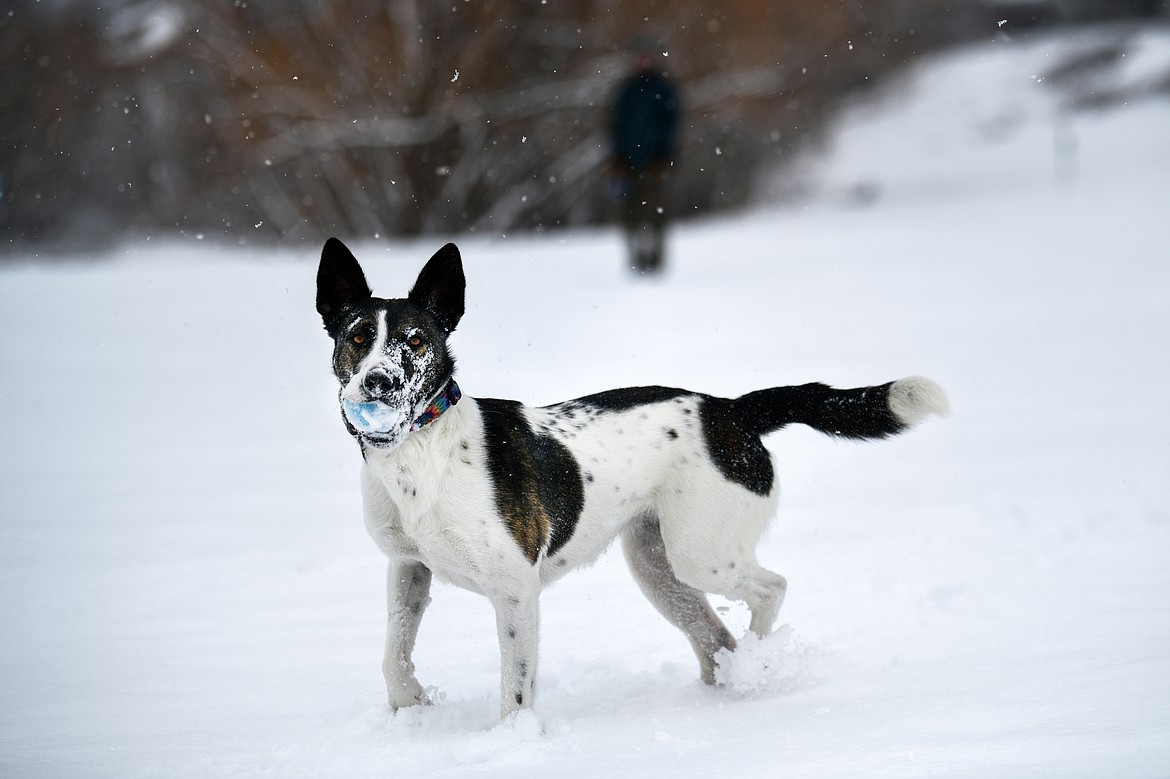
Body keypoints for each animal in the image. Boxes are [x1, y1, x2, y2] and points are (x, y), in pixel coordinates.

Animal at [315, 235, 945, 715]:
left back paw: (759, 663)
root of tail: (731, 410)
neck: (420, 444)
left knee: (772, 588)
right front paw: (410, 708)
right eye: (357, 338)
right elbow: (393, 652)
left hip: (700, 552)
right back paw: (728, 686)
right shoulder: (407, 569)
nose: (379, 383)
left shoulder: (515, 590)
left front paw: (512, 743)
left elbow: (516, 687)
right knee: (713, 637)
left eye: (416, 341)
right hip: (656, 565)